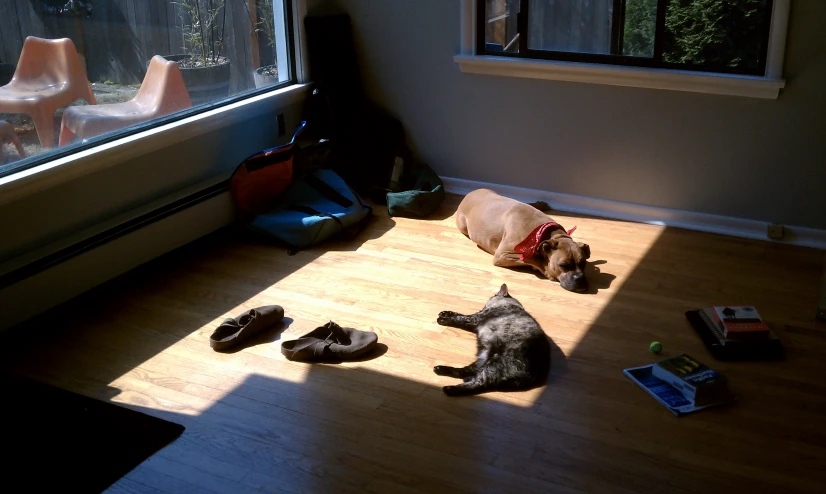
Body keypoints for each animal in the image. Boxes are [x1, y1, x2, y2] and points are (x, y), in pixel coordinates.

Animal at [454, 188, 588, 290]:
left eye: (583, 262)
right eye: (563, 265)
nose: (579, 278)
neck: (543, 232)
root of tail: (470, 194)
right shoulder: (503, 254)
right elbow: (532, 259)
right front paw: (547, 270)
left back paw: (540, 204)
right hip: (464, 227)